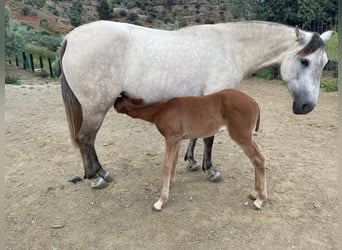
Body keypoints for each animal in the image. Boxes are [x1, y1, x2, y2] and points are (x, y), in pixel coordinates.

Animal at [113, 89, 266, 210]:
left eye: (120, 100)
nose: (114, 101)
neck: (161, 109)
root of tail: (253, 102)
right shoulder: (177, 139)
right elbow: (173, 162)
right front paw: (170, 184)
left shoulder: (171, 138)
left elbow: (166, 165)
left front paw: (161, 200)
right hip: (247, 136)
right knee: (259, 156)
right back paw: (255, 193)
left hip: (241, 136)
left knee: (258, 159)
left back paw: (260, 199)